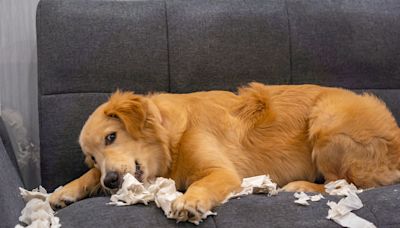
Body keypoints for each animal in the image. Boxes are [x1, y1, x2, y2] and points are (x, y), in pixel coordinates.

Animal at [50, 83, 400, 222]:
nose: (110, 182)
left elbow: (201, 184)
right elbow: (87, 177)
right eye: (92, 157)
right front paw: (64, 191)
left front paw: (189, 202)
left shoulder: (222, 172)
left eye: (111, 137)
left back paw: (299, 186)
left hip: (326, 119)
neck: (172, 138)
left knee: (344, 183)